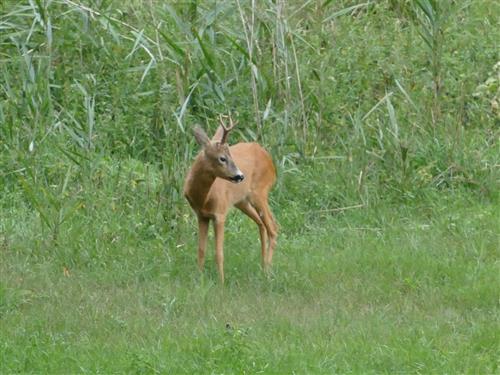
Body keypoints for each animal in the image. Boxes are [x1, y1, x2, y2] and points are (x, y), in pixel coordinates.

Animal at [184, 116, 278, 284]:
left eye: (231, 156)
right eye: (222, 158)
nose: (240, 176)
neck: (204, 198)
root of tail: (270, 160)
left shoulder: (220, 213)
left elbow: (219, 253)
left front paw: (221, 282)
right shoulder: (201, 215)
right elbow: (201, 250)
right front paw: (198, 279)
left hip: (260, 192)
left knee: (273, 228)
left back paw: (267, 270)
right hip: (242, 201)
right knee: (262, 224)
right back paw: (262, 267)